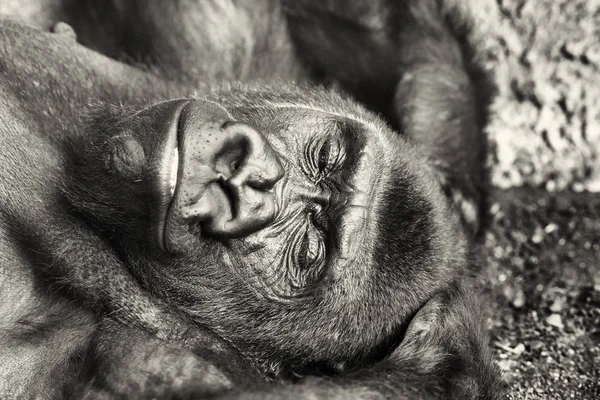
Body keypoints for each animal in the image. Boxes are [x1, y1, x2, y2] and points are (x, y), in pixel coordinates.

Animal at [0, 0, 506, 400]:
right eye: (326, 156)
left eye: (307, 251)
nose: (240, 176)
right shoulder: (225, 58)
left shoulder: (163, 356)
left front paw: (446, 356)